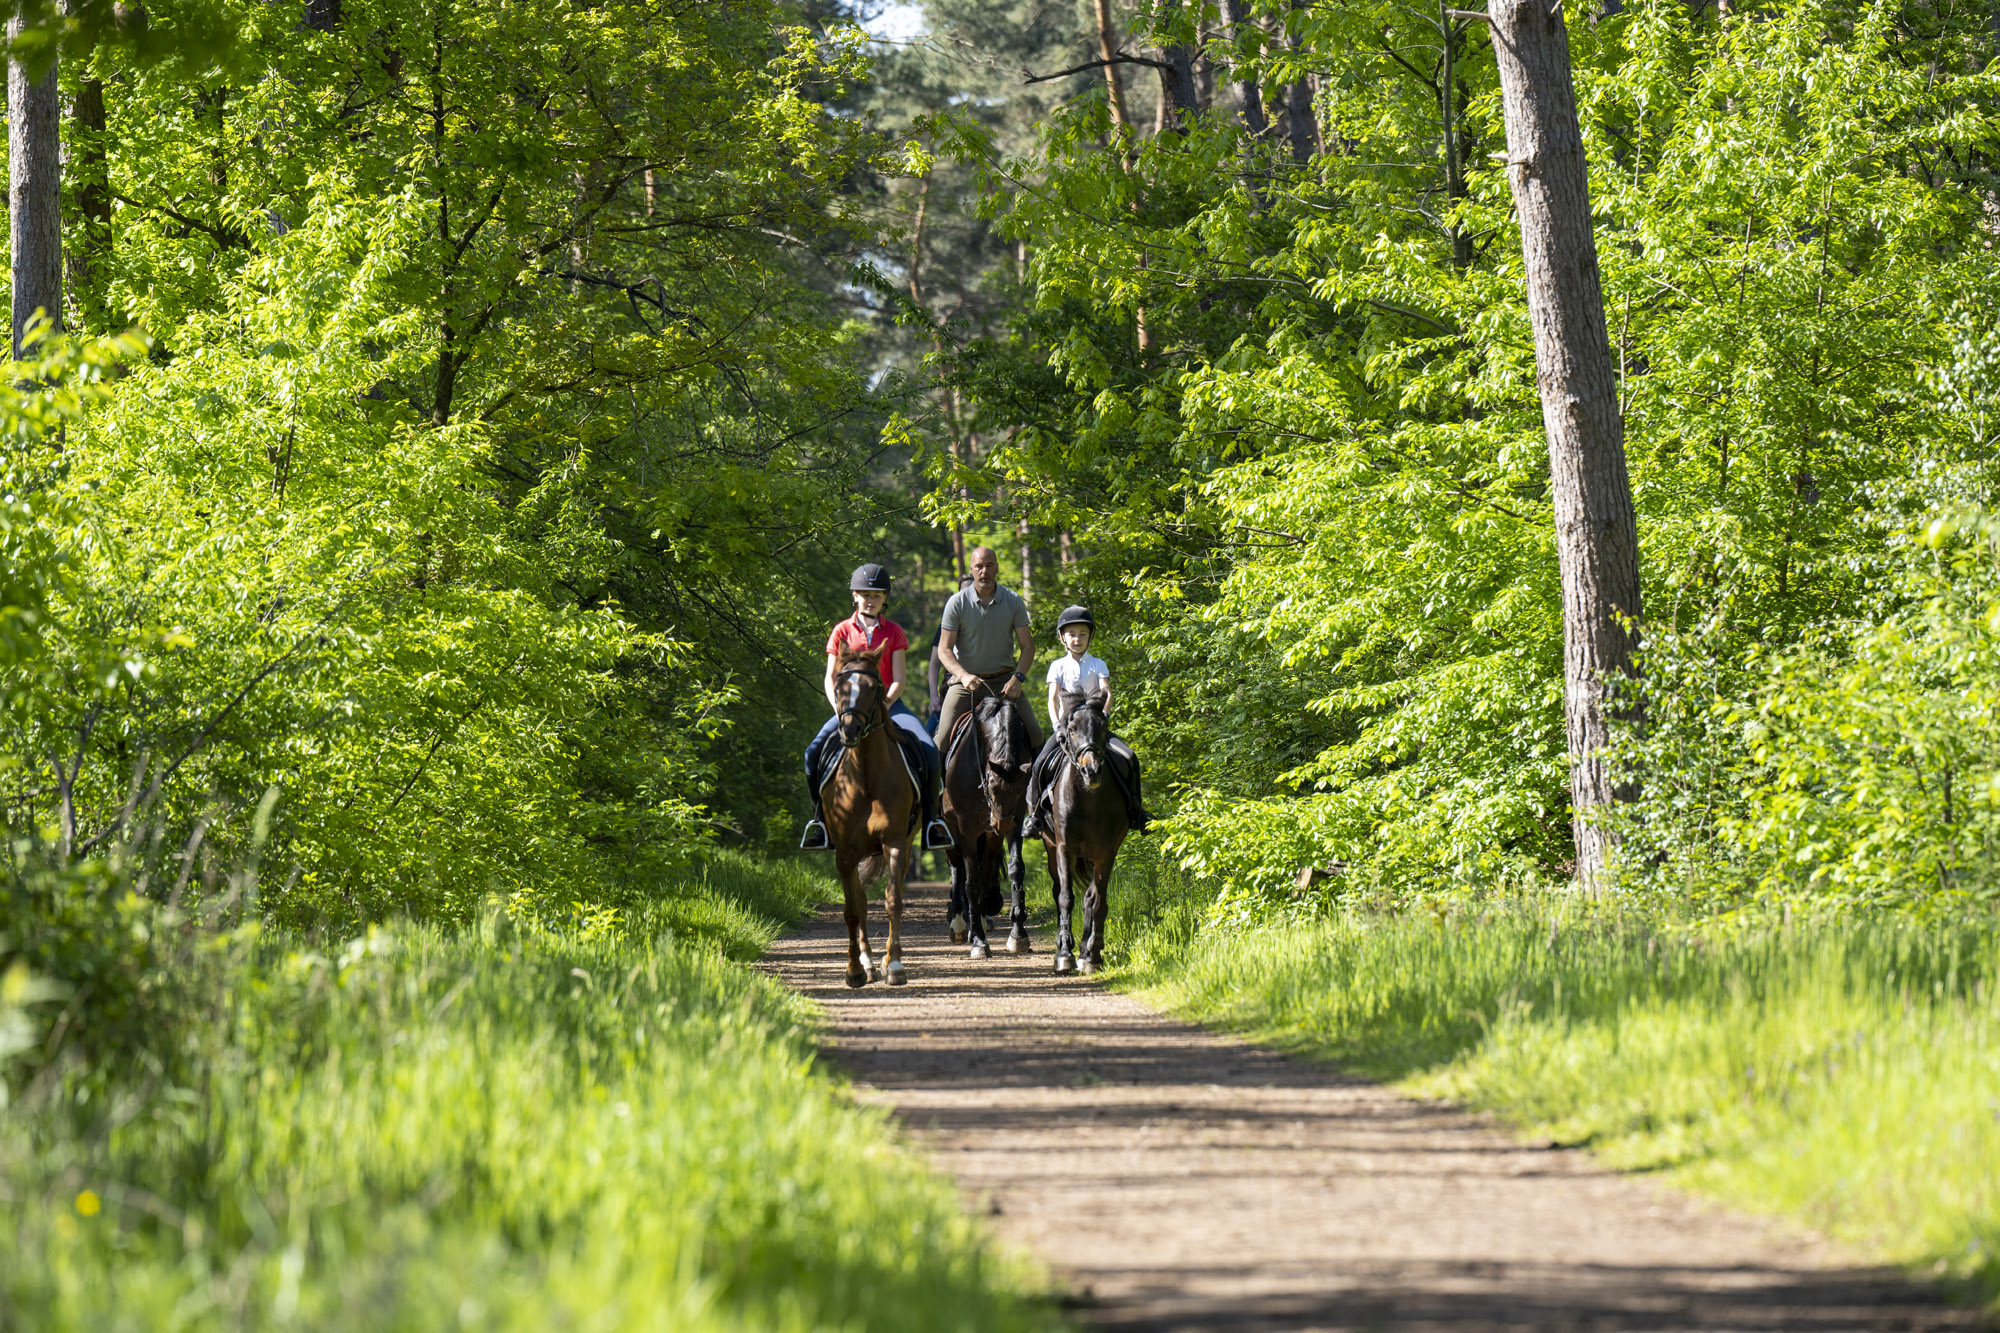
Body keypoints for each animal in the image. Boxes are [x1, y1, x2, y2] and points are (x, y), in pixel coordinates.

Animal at [820, 644, 916, 984]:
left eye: (874, 687)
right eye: (839, 685)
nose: (850, 729)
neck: (865, 777)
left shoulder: (895, 842)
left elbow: (893, 901)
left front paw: (896, 965)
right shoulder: (845, 852)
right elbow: (852, 910)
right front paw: (854, 970)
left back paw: (882, 962)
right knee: (860, 901)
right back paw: (867, 961)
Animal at [936, 684, 1032, 956]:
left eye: (1021, 789)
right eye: (990, 784)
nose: (1002, 824)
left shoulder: (1012, 823)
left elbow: (1014, 870)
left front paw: (1018, 935)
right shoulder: (967, 829)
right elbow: (970, 881)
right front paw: (979, 940)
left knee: (984, 868)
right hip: (951, 831)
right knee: (958, 869)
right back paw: (960, 924)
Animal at [1040, 688, 1136, 972]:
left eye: (1103, 726)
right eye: (1071, 729)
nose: (1091, 770)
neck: (1088, 799)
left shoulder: (1106, 853)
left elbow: (1097, 901)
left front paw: (1091, 955)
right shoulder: (1064, 848)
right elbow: (1065, 897)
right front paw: (1064, 953)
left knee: (1091, 896)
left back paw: (1087, 949)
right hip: (1051, 849)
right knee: (1059, 891)